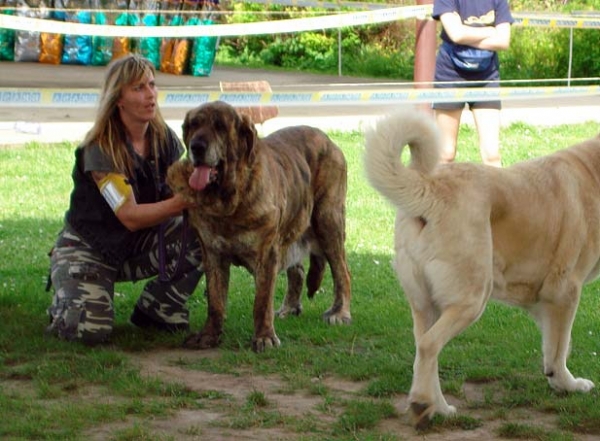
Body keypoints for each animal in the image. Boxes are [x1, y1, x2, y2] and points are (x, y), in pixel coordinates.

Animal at [166, 99, 352, 350]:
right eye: (194, 125)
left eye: (220, 127)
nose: (196, 146)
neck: (229, 201)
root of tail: (329, 140)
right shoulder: (212, 254)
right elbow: (215, 301)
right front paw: (209, 335)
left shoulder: (267, 253)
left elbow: (261, 301)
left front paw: (264, 337)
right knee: (298, 271)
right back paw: (289, 307)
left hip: (328, 221)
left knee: (342, 271)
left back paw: (339, 312)